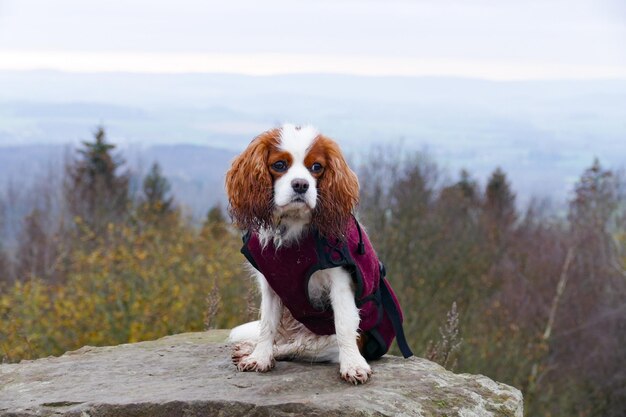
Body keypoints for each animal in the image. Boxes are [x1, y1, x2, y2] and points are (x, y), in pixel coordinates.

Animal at [224, 122, 410, 384]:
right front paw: (260, 357)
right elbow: (267, 325)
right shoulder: (271, 286)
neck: (293, 225)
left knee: (301, 347)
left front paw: (353, 365)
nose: (301, 184)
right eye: (279, 165)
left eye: (316, 167)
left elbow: (344, 325)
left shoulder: (340, 281)